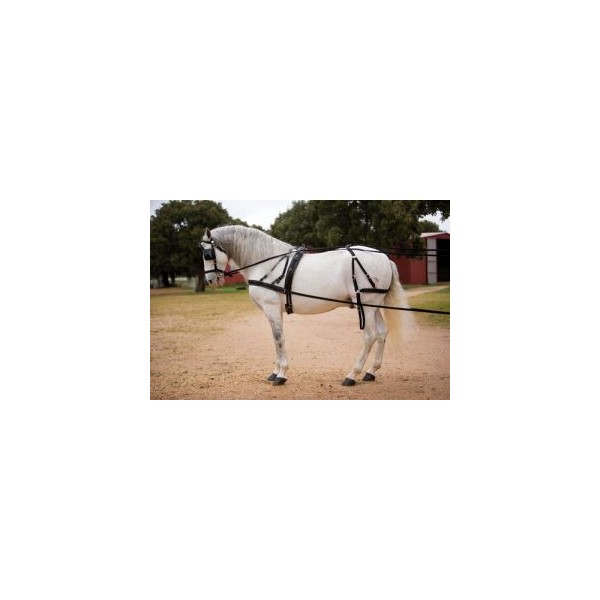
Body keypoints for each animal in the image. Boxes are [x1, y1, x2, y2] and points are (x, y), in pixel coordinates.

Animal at [200, 225, 413, 386]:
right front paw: (275, 371)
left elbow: (278, 338)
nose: (210, 280)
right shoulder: (276, 310)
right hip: (373, 305)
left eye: (207, 254)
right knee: (382, 333)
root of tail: (383, 257)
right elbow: (277, 339)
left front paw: (281, 375)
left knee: (370, 336)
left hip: (366, 306)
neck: (266, 263)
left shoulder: (271, 308)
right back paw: (371, 372)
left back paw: (352, 375)